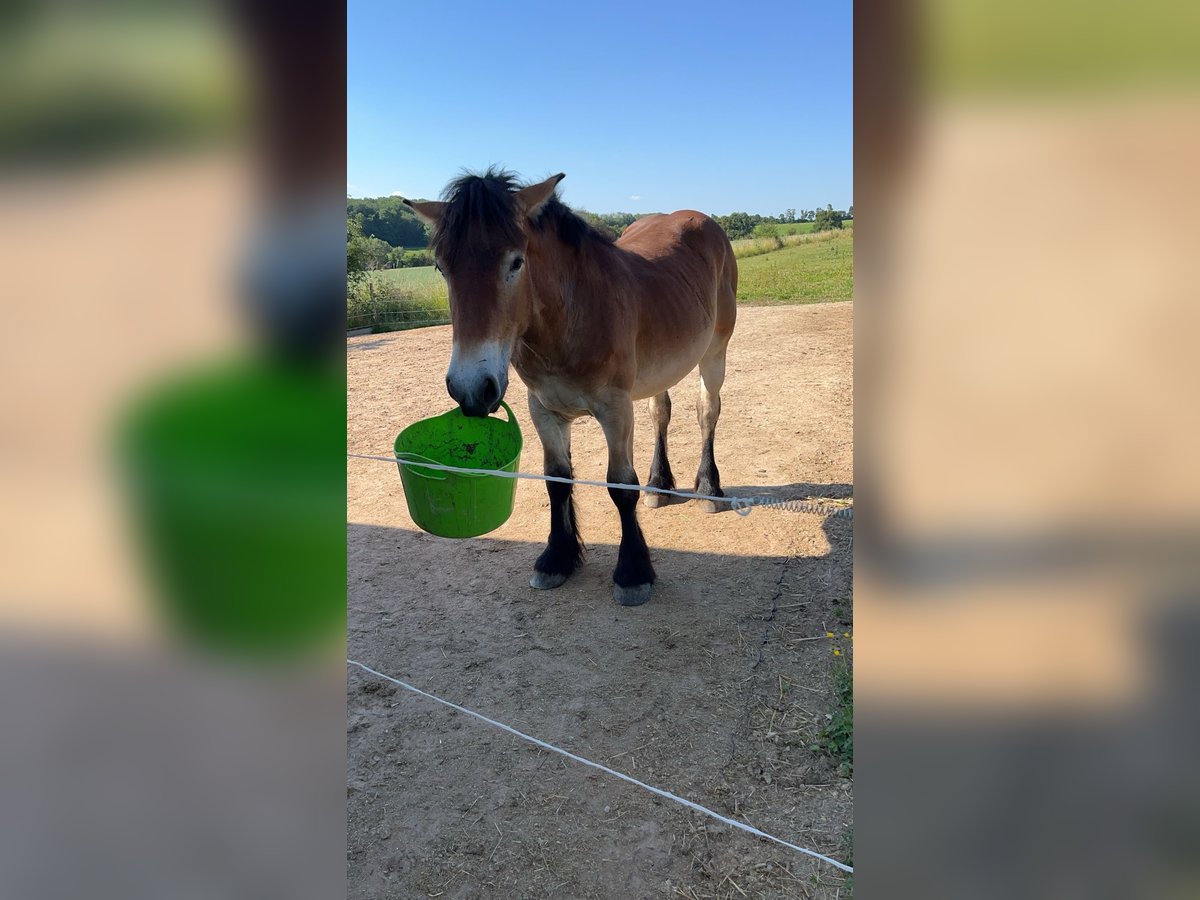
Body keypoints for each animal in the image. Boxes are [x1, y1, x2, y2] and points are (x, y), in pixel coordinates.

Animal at [403, 170, 734, 607]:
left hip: (714, 353)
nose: (471, 388)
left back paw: (709, 487)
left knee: (707, 413)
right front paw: (557, 558)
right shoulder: (544, 410)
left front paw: (632, 572)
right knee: (660, 413)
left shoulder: (615, 410)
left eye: (516, 261)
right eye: (442, 267)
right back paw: (659, 485)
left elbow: (620, 486)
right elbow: (556, 480)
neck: (571, 316)